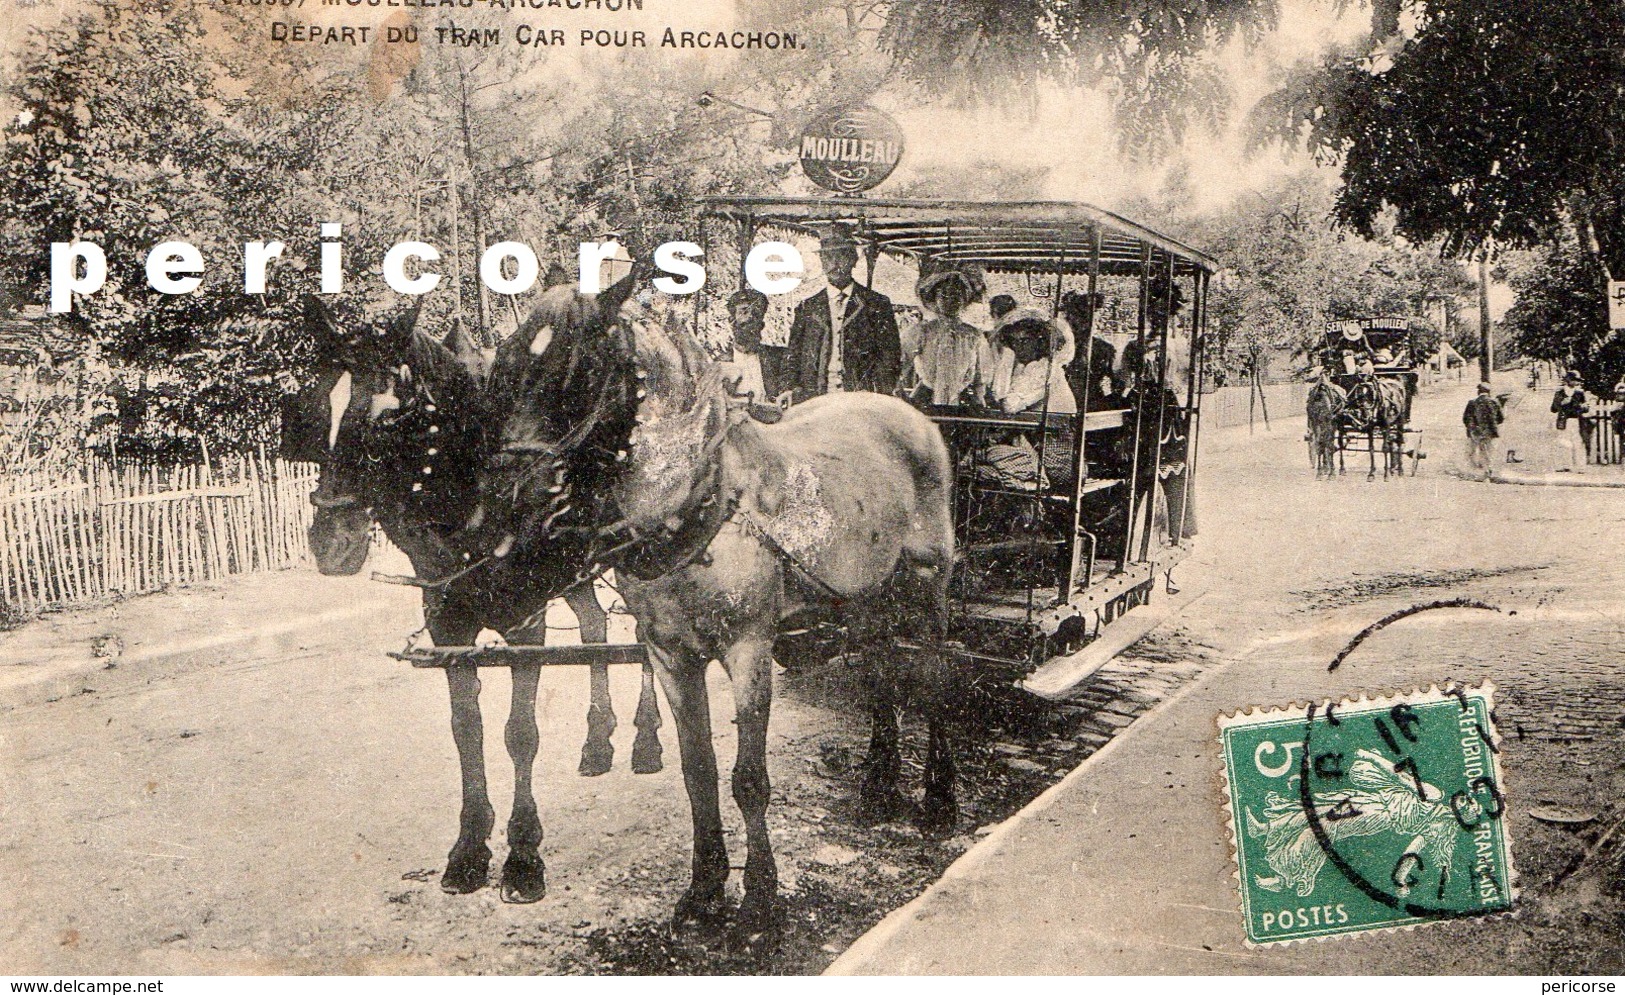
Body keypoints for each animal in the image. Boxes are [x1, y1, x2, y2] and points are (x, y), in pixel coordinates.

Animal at [282, 287, 663, 903]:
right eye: (315, 411)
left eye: (386, 419)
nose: (331, 544)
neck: (475, 493)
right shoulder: (447, 625)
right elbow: (467, 731)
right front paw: (468, 848)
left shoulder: (524, 620)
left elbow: (520, 733)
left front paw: (524, 855)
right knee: (595, 625)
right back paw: (599, 740)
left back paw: (646, 740)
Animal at [487, 276, 955, 942]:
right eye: (506, 362)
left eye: (578, 370)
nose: (507, 496)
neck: (697, 502)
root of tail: (907, 412)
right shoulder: (670, 655)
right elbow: (698, 770)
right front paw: (704, 891)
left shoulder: (749, 649)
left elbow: (749, 780)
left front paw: (759, 900)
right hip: (864, 593)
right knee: (881, 666)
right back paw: (879, 782)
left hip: (928, 581)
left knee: (937, 674)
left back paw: (939, 798)